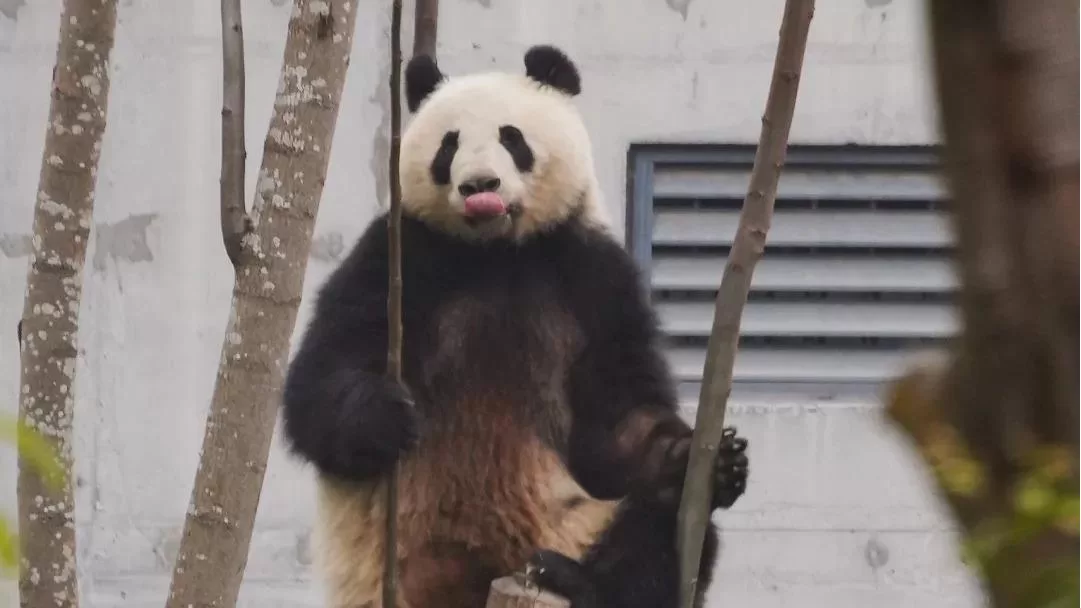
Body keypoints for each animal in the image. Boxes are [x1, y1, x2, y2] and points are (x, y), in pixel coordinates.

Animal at [281, 45, 750, 608]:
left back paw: (576, 579)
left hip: (574, 523)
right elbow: (324, 376)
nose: (479, 185)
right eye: (449, 144)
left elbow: (619, 418)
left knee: (658, 534)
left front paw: (705, 458)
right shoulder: (401, 255)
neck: (497, 252)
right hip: (383, 572)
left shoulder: (591, 275)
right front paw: (386, 412)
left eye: (512, 137)